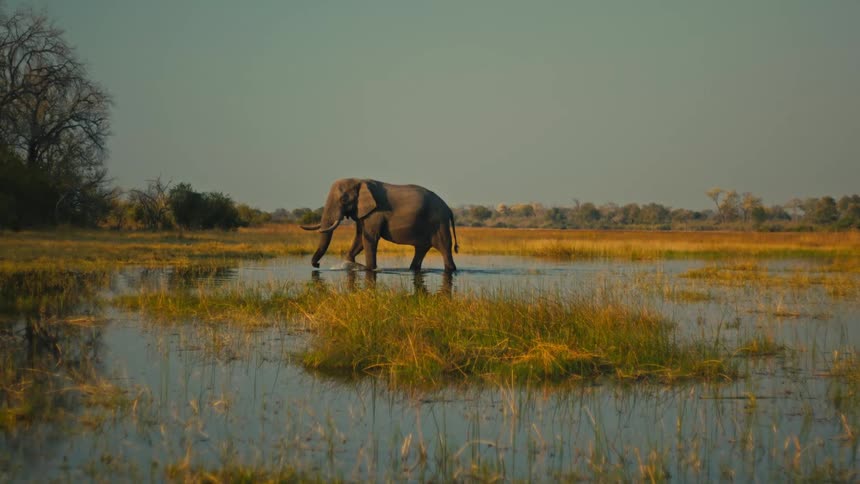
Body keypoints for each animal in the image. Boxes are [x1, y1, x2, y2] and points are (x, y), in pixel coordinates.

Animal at [300, 178, 459, 272]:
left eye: (344, 199)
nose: (317, 265)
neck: (360, 181)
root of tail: (448, 208)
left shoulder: (375, 212)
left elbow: (369, 239)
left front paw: (370, 269)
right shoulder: (364, 212)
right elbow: (360, 238)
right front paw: (349, 263)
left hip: (439, 223)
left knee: (445, 248)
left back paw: (451, 269)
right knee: (420, 250)